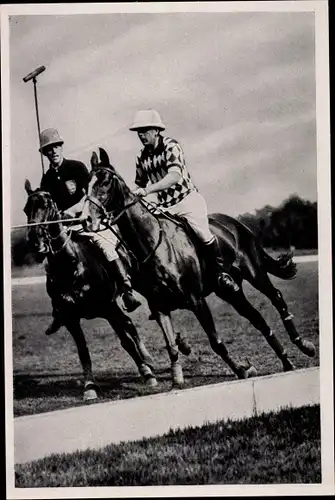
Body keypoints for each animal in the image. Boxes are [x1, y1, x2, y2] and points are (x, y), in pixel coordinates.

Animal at [23, 182, 158, 400]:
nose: (35, 241)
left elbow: (126, 342)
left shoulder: (108, 308)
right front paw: (89, 387)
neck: (71, 265)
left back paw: (149, 362)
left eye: (46, 205)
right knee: (128, 325)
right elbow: (83, 351)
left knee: (130, 326)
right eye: (26, 209)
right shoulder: (70, 318)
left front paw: (148, 374)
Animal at [85, 148, 316, 386]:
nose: (87, 220)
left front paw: (242, 370)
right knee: (257, 319)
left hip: (255, 272)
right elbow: (171, 346)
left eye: (104, 181)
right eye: (87, 183)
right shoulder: (160, 306)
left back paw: (304, 345)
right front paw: (177, 379)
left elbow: (216, 342)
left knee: (276, 297)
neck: (152, 244)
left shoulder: (196, 300)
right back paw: (286, 361)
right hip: (229, 291)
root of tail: (236, 224)